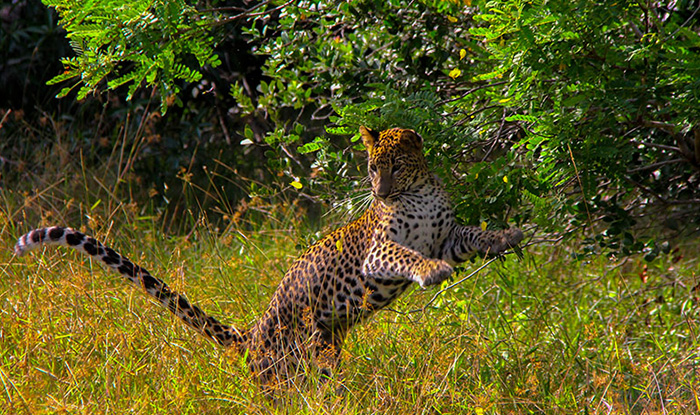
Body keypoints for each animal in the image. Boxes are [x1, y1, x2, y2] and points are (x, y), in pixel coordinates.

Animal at [13, 127, 524, 390]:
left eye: (395, 165)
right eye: (371, 167)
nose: (379, 191)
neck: (417, 190)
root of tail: (253, 331)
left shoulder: (447, 236)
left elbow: (473, 234)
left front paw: (508, 236)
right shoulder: (379, 253)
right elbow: (406, 255)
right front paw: (432, 272)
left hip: (324, 347)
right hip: (286, 367)